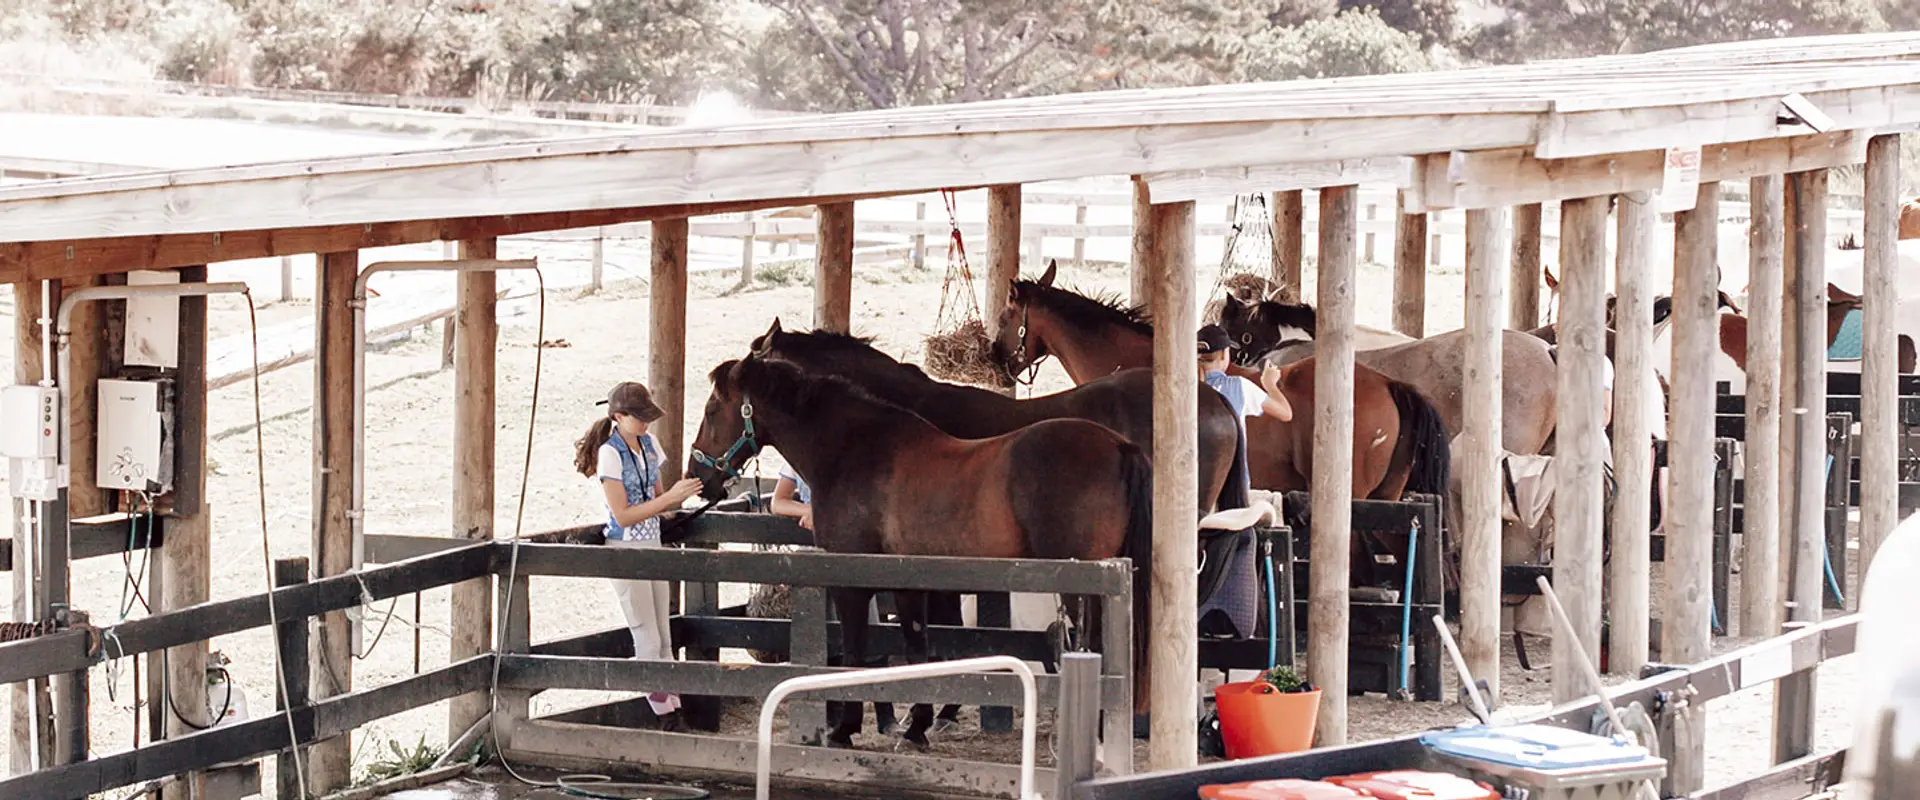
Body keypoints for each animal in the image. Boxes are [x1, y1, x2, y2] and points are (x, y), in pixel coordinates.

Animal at [688, 339, 1153, 751]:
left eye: (712, 410)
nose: (698, 474)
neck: (856, 450)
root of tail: (1119, 446)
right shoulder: (909, 583)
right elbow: (918, 651)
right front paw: (917, 726)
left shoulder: (851, 581)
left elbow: (856, 652)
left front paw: (846, 729)